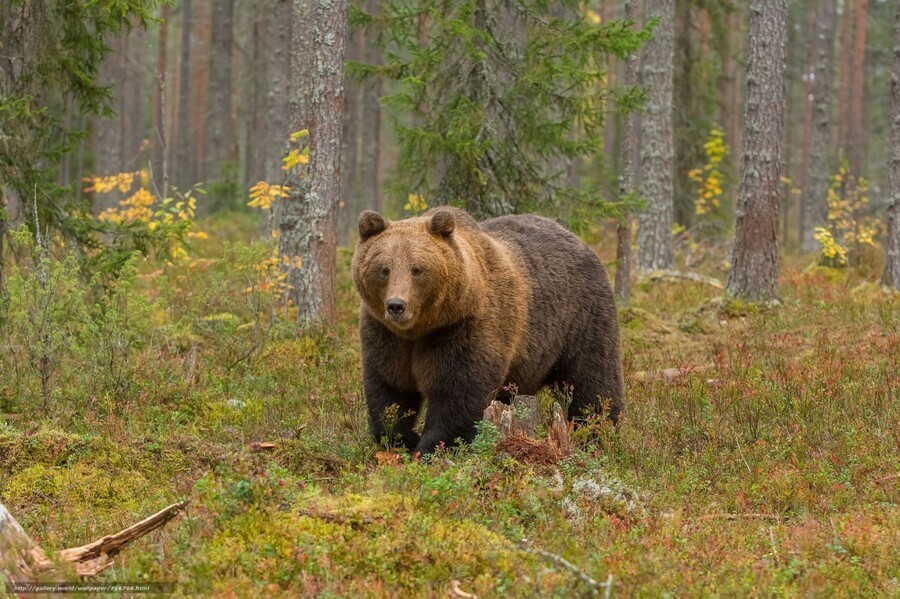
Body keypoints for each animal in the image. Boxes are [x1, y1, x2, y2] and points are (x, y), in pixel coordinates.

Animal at [354, 207, 624, 454]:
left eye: (417, 269)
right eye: (384, 268)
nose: (396, 305)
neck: (421, 329)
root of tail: (576, 238)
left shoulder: (465, 328)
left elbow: (459, 392)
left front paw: (430, 448)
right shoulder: (385, 335)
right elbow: (390, 388)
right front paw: (402, 438)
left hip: (581, 318)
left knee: (593, 379)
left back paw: (598, 432)